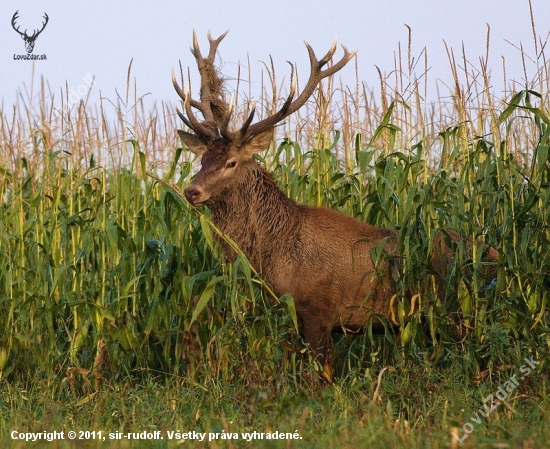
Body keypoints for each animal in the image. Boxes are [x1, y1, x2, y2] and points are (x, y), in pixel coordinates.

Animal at [174, 30, 500, 382]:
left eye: (231, 162)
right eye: (203, 159)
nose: (191, 191)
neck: (272, 256)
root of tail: (497, 257)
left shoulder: (318, 309)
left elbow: (322, 375)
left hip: (458, 308)